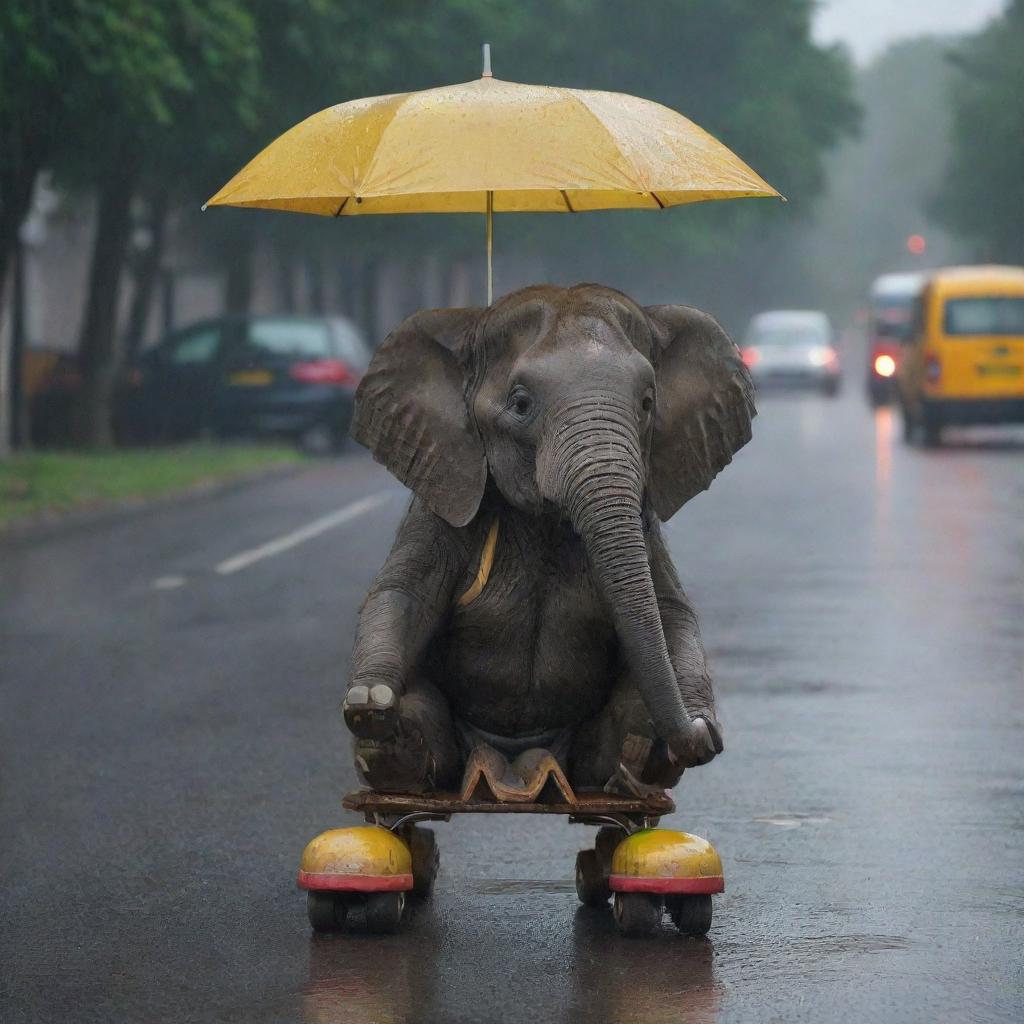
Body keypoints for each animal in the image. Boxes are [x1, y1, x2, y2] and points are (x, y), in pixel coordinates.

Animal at [342, 284, 753, 794]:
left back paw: (633, 775)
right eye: (520, 403)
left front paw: (697, 733)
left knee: (635, 709)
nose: (700, 734)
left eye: (646, 403)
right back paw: (390, 754)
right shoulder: (445, 500)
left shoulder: (644, 518)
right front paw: (369, 702)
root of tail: (515, 770)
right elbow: (404, 592)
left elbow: (670, 607)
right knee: (416, 708)